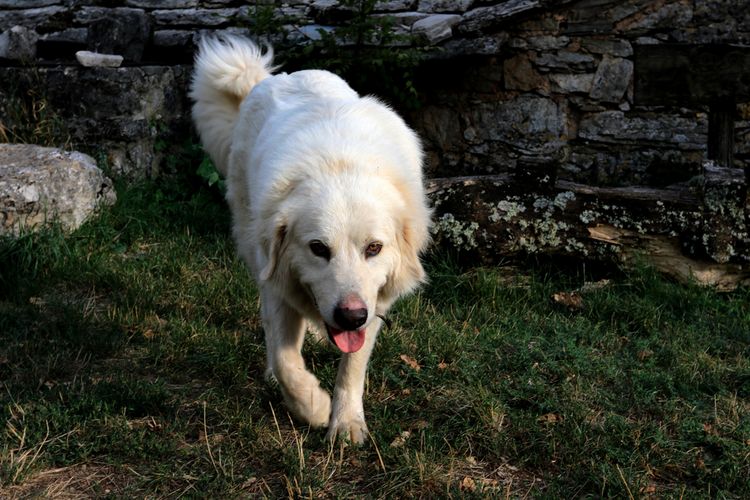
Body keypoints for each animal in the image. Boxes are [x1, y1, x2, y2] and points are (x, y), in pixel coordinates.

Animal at [191, 37, 432, 444]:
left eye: (374, 249)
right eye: (319, 249)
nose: (351, 316)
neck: (341, 166)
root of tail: (274, 78)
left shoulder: (374, 301)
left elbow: (353, 366)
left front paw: (346, 422)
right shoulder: (278, 281)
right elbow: (286, 359)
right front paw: (314, 407)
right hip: (255, 247)